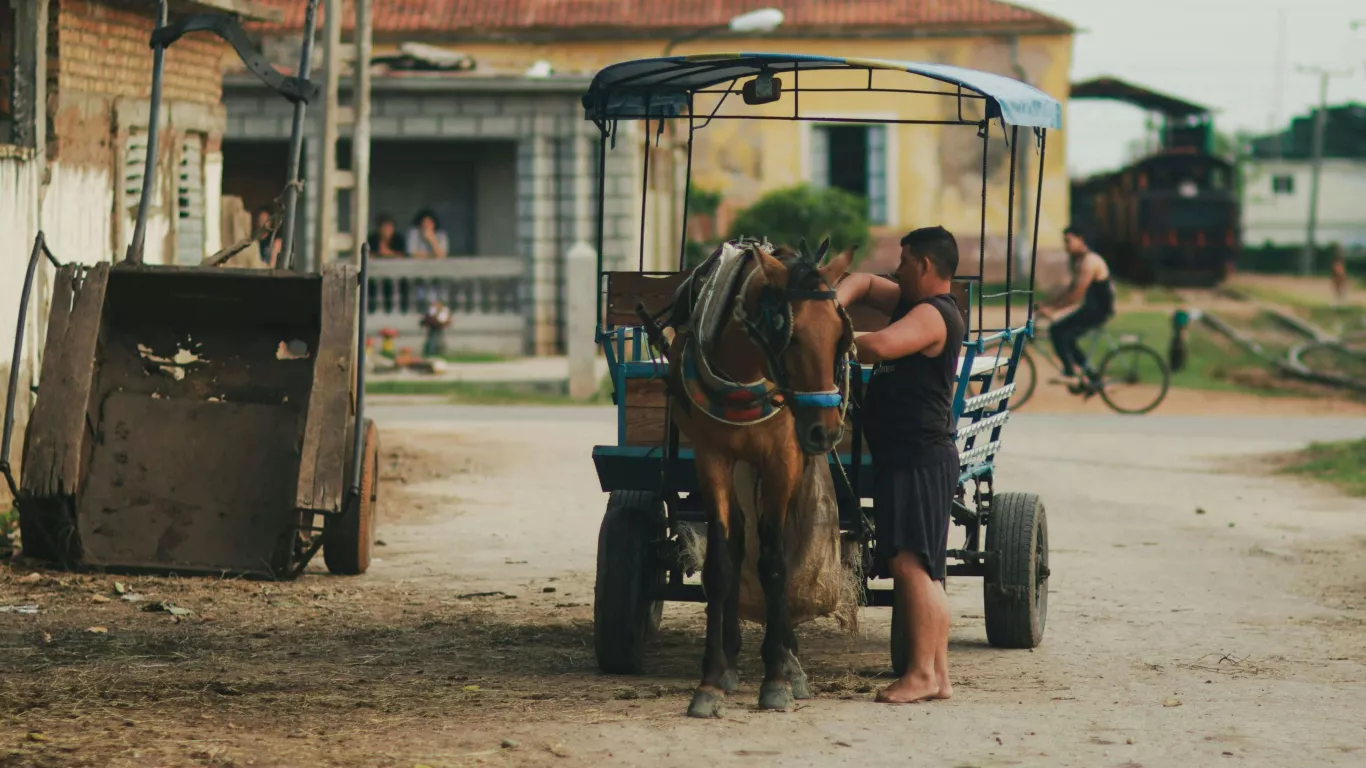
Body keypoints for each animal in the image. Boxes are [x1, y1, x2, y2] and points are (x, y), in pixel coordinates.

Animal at [663, 237, 852, 710]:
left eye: (840, 336)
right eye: (790, 335)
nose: (825, 431)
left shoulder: (783, 458)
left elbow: (774, 563)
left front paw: (778, 676)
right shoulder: (712, 457)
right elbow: (721, 561)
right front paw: (712, 678)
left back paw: (791, 658)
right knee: (737, 540)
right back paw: (733, 655)